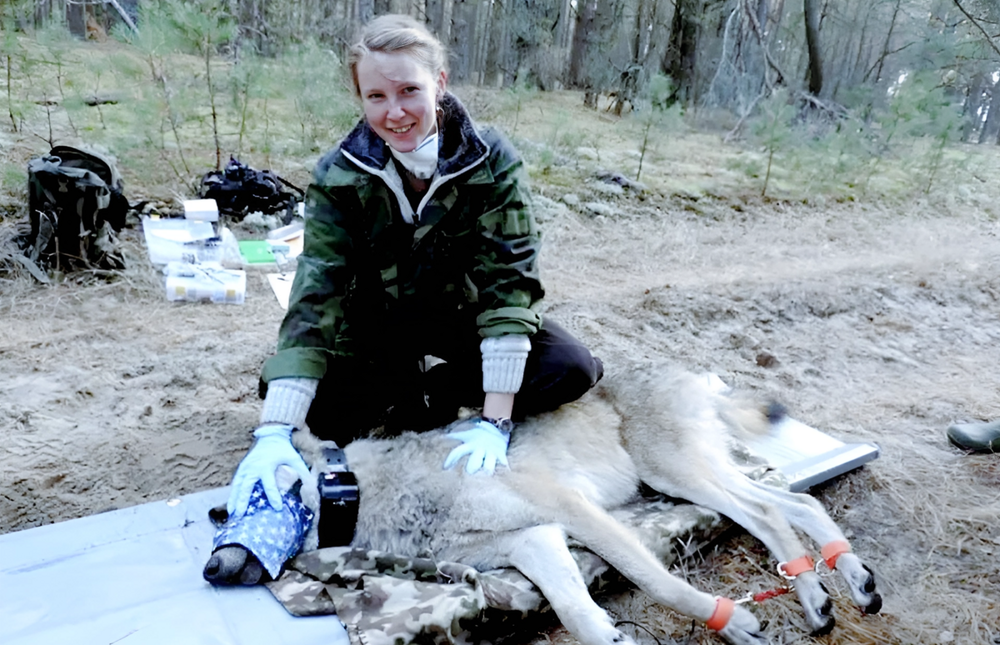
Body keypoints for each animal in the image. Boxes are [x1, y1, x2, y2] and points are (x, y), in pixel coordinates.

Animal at [207, 368, 880, 644]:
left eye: (243, 504)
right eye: (221, 516)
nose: (210, 570)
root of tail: (698, 373)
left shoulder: (572, 510)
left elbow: (656, 582)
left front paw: (729, 622)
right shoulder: (537, 537)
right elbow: (576, 613)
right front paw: (614, 637)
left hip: (673, 474)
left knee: (769, 510)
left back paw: (821, 590)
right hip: (687, 478)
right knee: (790, 502)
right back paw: (837, 588)